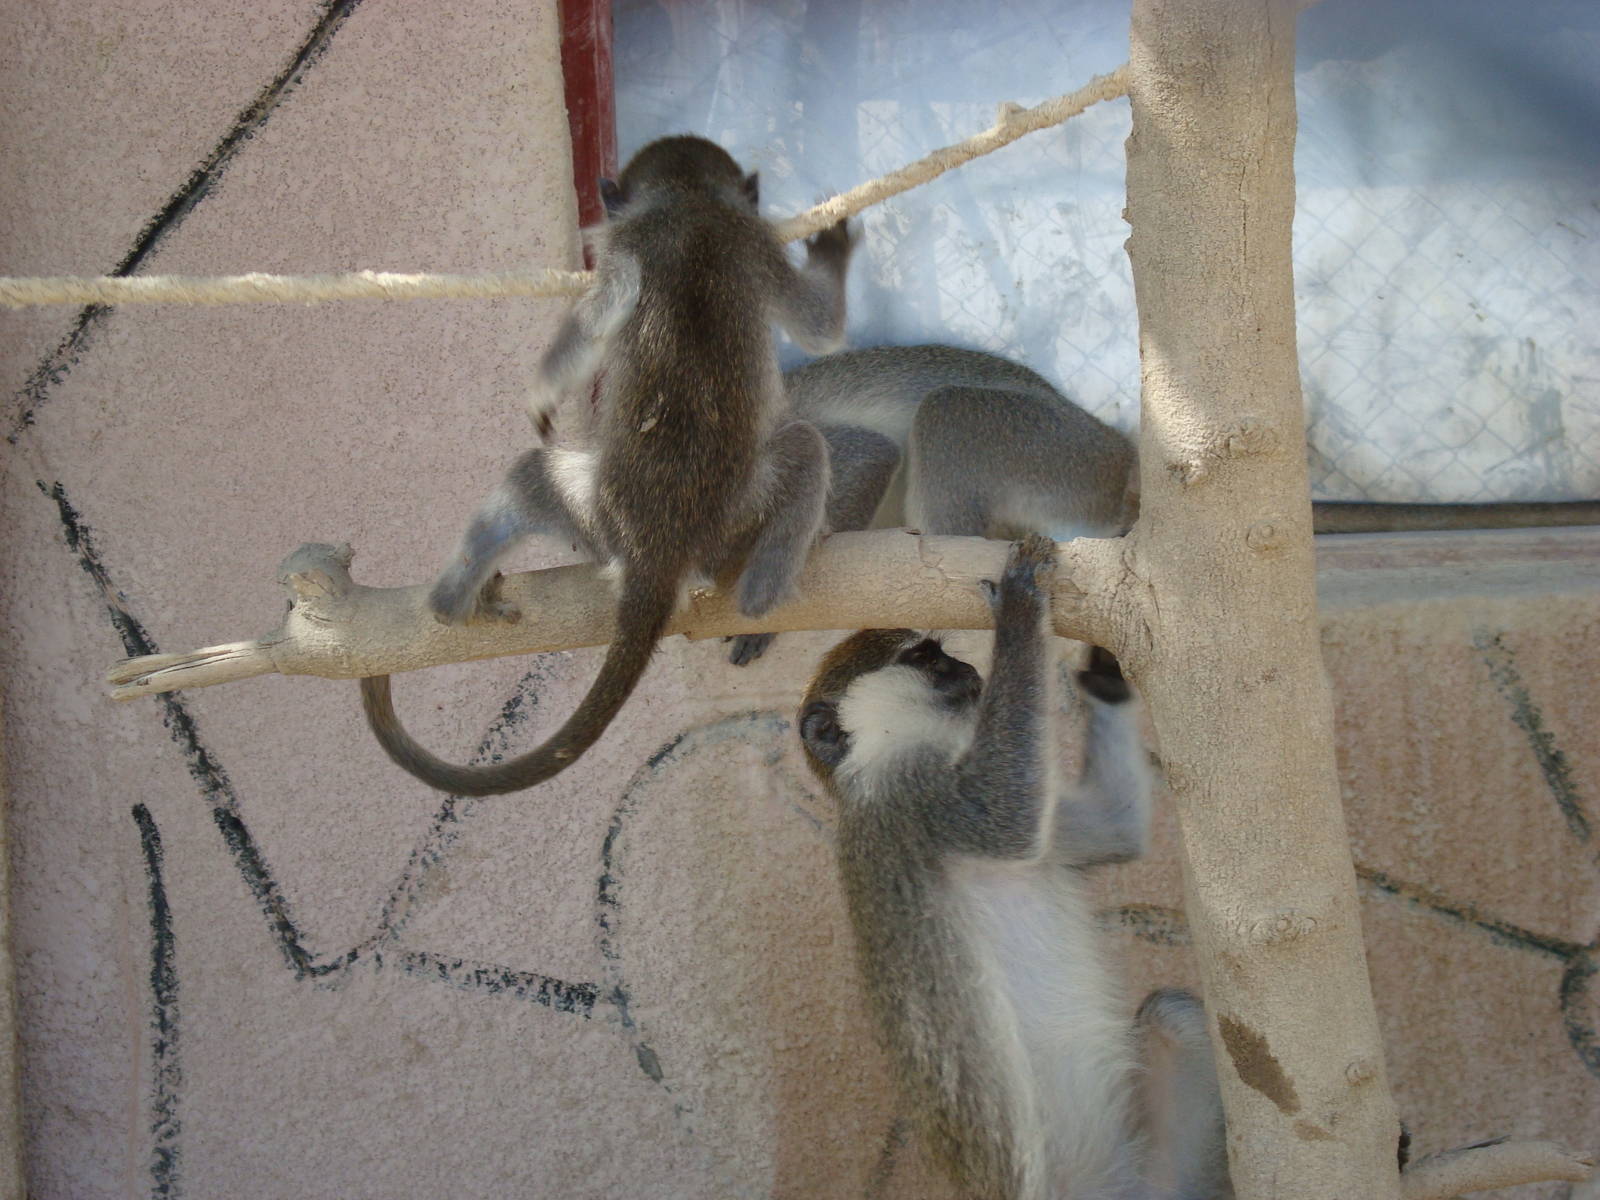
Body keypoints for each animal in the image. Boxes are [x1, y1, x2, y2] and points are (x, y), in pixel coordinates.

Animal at [361, 134, 855, 796]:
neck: (686, 201)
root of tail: (656, 550)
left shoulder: (670, 241)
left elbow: (606, 311)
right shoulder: (739, 238)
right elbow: (817, 328)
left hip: (600, 512)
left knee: (531, 475)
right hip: (675, 516)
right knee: (805, 446)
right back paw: (761, 598)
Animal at [797, 534, 1231, 1200]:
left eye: (942, 653)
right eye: (926, 658)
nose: (969, 669)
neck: (881, 757)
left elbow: (1114, 828)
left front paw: (1103, 669)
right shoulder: (912, 791)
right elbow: (1006, 815)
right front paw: (1022, 611)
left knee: (1175, 1016)